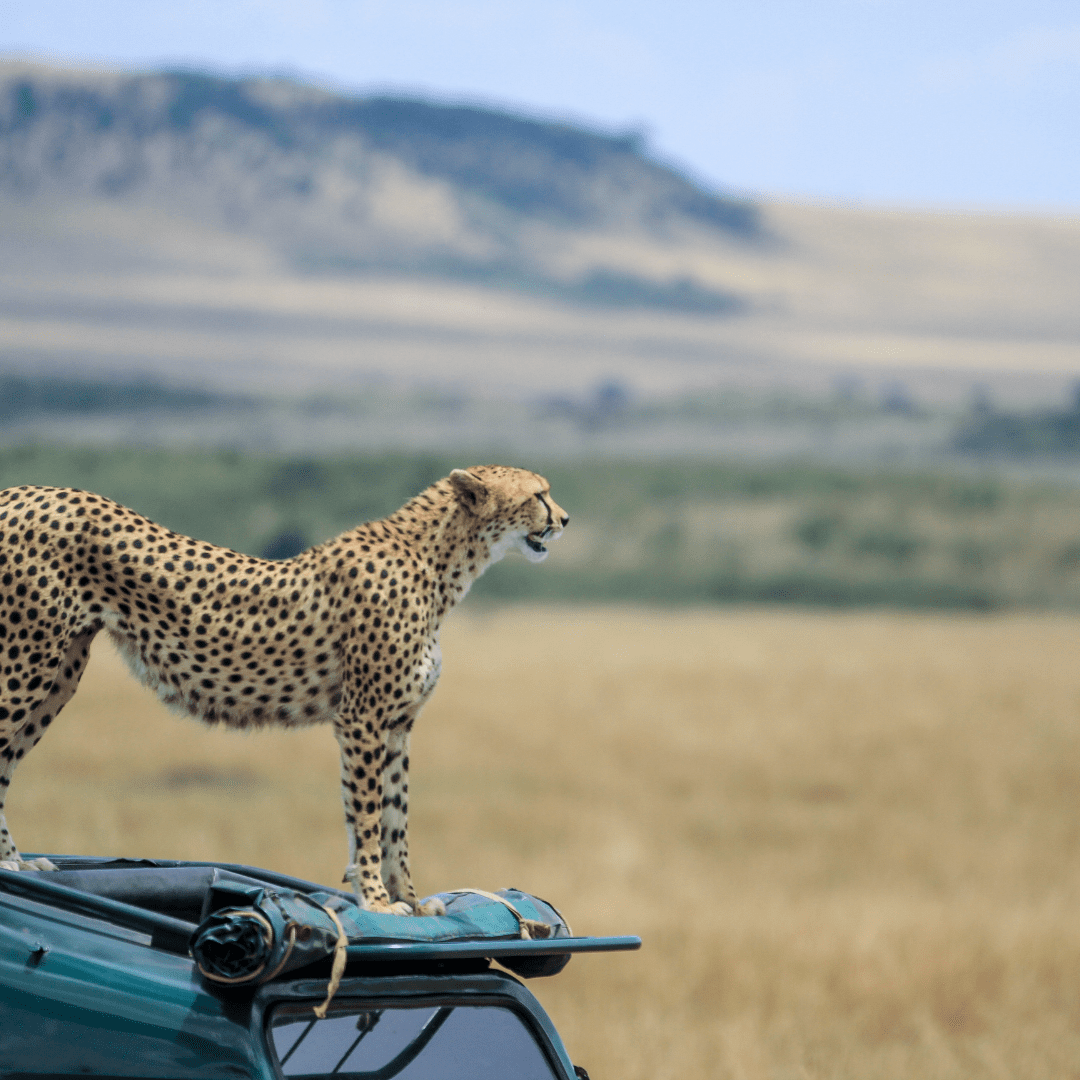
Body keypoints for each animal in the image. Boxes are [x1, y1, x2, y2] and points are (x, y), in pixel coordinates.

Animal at [0, 464, 565, 911]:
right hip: (27, 661)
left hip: (59, 673)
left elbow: (397, 815)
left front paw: (410, 899)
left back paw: (19, 862)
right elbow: (366, 814)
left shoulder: (398, 724)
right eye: (539, 494)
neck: (441, 562)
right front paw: (376, 900)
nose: (563, 520)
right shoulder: (361, 718)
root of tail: (24, 490)